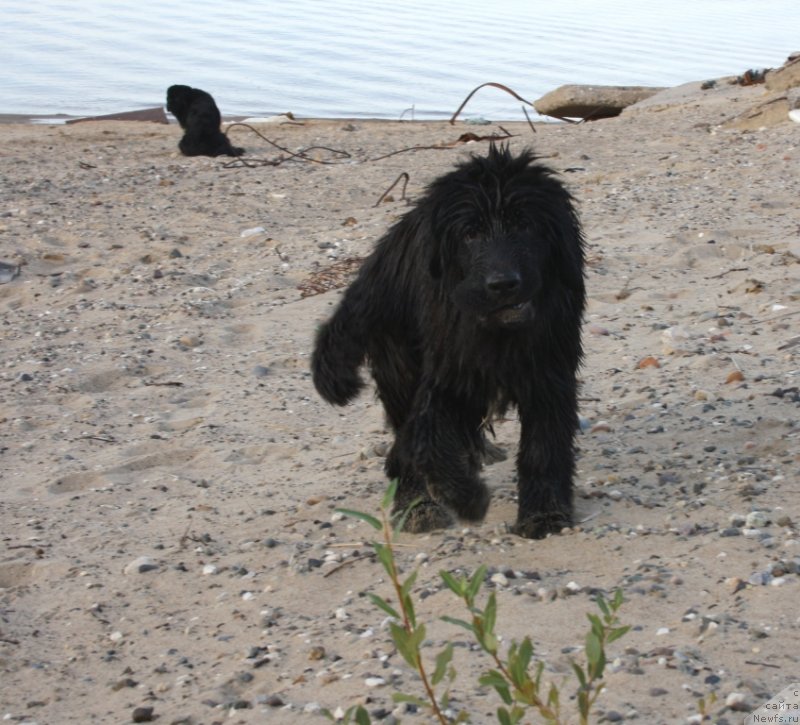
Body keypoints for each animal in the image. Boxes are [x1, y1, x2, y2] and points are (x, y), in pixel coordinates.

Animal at [314, 143, 588, 536]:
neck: (497, 331)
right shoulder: (448, 373)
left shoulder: (548, 371)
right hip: (398, 359)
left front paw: (544, 514)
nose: (503, 284)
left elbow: (544, 445)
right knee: (406, 439)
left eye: (525, 224)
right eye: (470, 234)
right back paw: (418, 504)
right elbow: (428, 440)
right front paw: (466, 497)